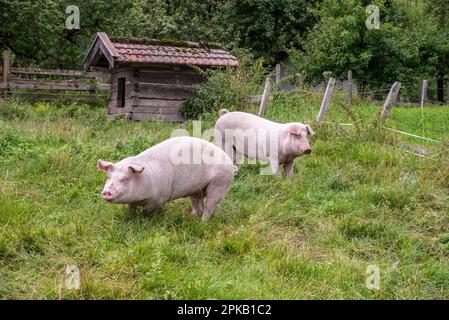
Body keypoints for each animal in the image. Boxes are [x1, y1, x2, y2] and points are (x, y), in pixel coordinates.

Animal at [97, 136, 234, 221]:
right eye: (109, 177)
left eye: (124, 179)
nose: (107, 191)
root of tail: (230, 162)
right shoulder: (132, 202)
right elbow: (130, 209)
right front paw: (130, 217)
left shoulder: (158, 199)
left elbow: (148, 211)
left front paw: (145, 218)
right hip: (196, 189)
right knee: (197, 203)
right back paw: (192, 216)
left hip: (220, 183)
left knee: (209, 206)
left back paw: (202, 222)